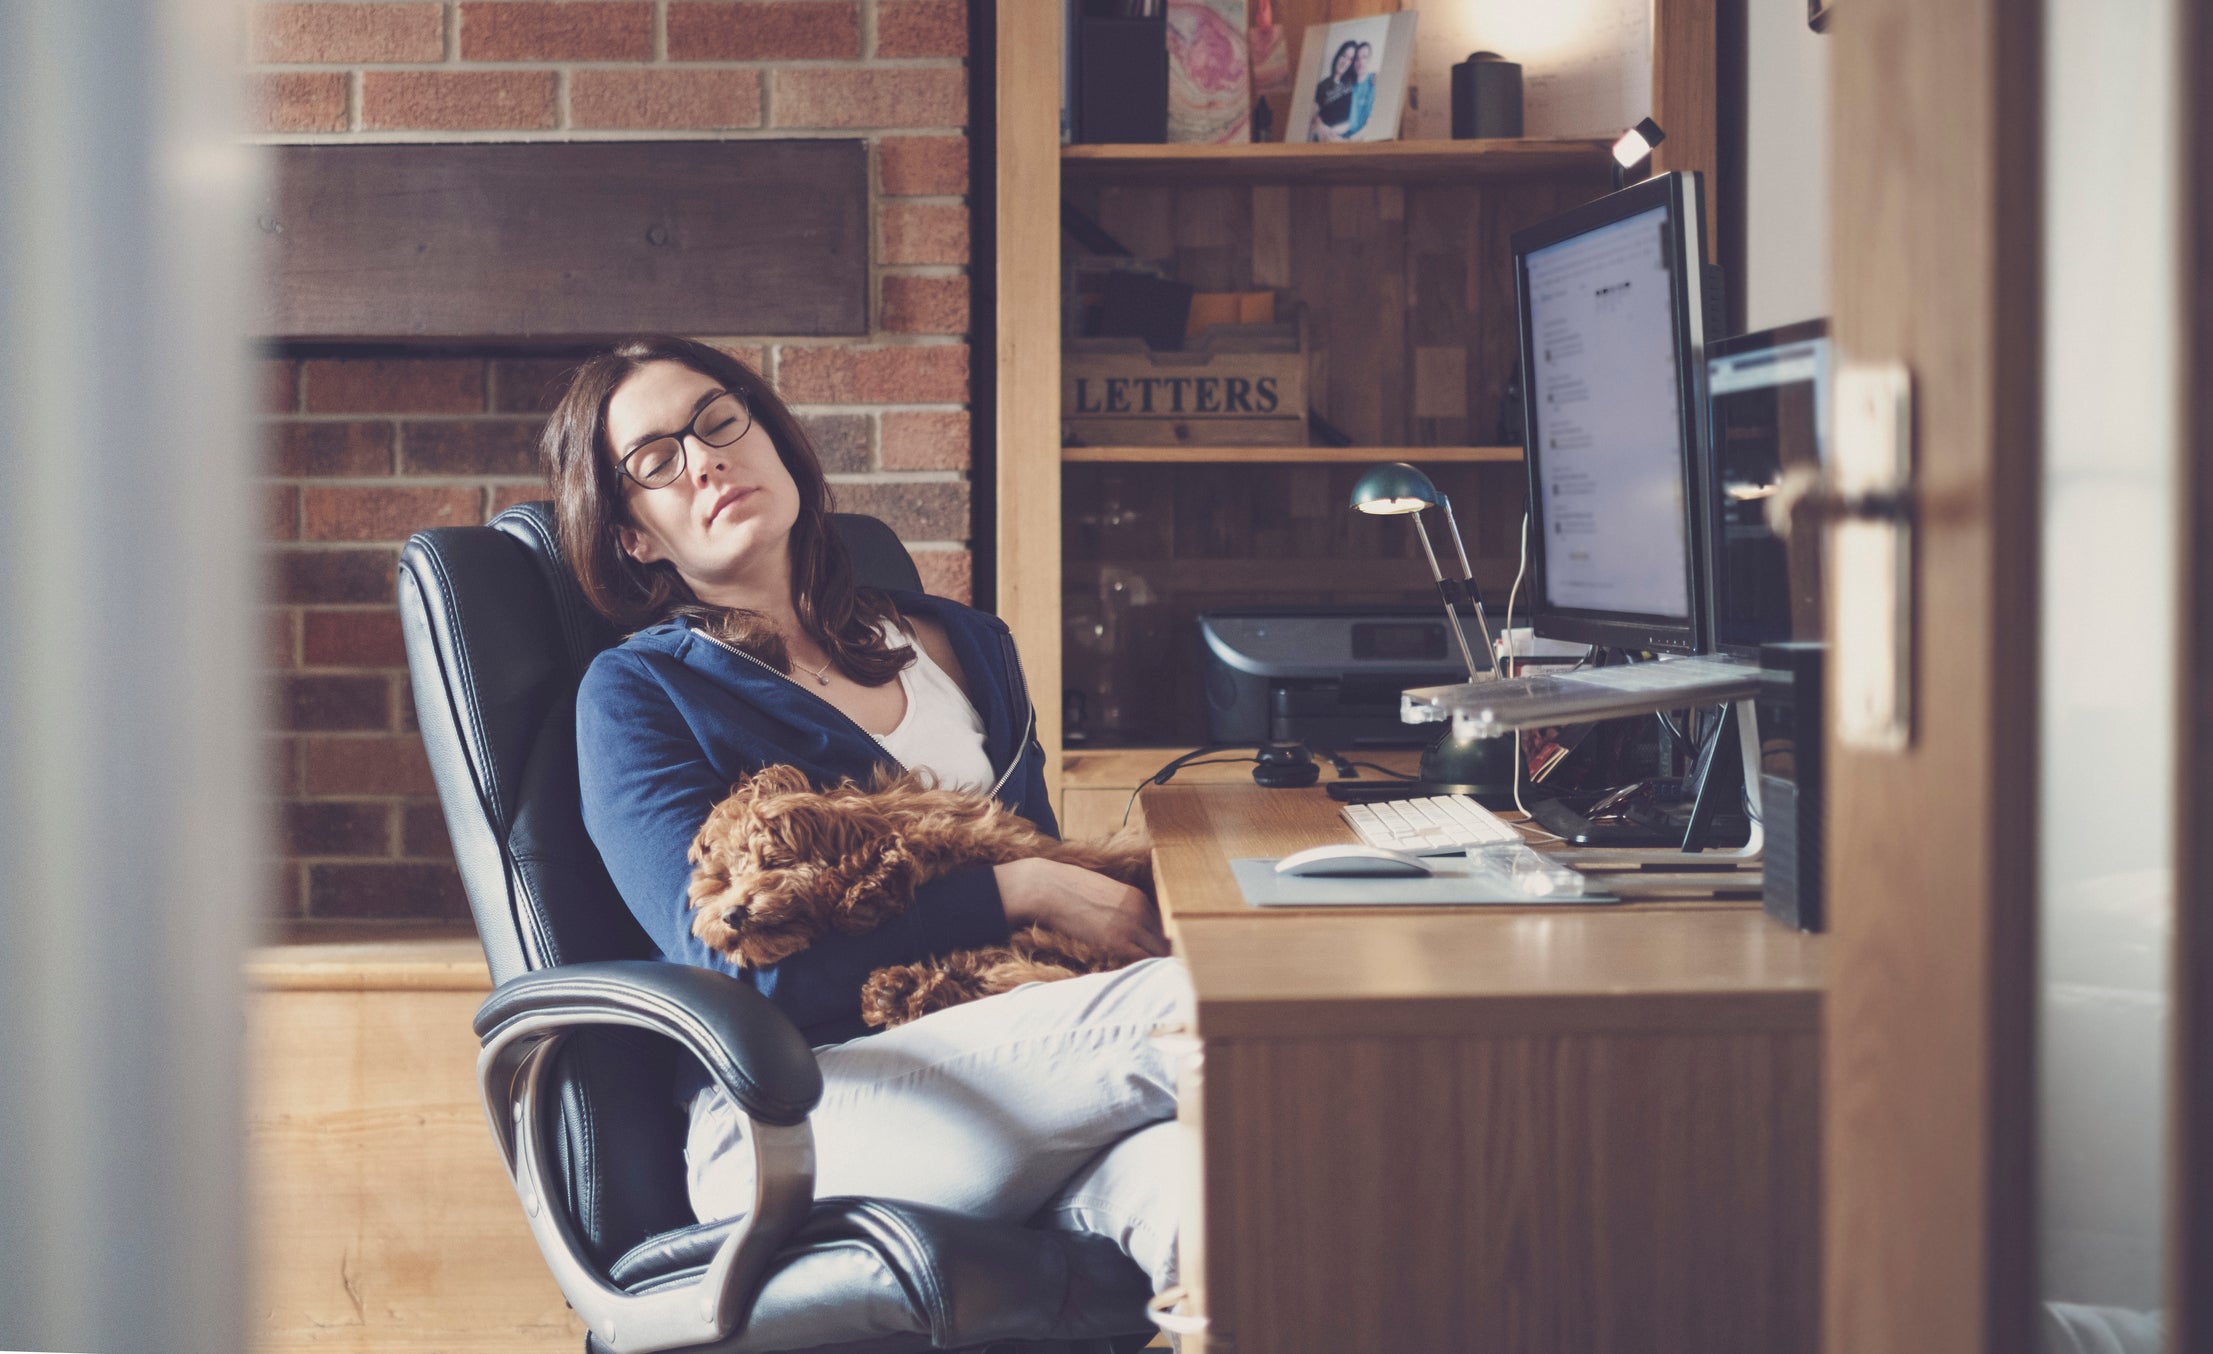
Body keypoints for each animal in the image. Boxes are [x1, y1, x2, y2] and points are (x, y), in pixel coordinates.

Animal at [681, 761, 1150, 1026]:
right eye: (721, 882)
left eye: (770, 861)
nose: (733, 914)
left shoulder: (972, 835)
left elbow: (910, 845)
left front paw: (861, 887)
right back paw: (902, 992)